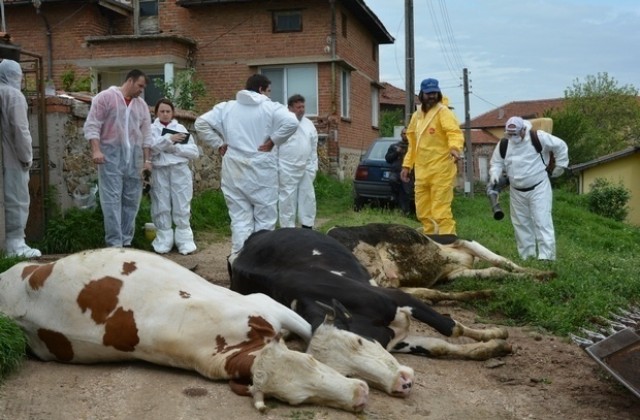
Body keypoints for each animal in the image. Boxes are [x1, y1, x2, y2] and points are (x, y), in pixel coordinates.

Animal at [330, 223, 556, 302]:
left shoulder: (456, 268)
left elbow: (497, 268)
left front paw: (536, 276)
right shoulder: (460, 243)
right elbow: (500, 263)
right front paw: (539, 275)